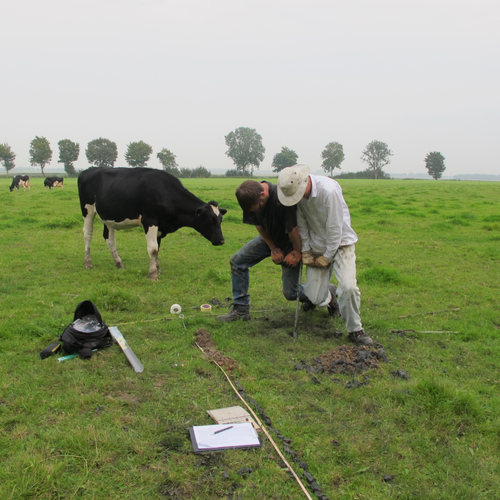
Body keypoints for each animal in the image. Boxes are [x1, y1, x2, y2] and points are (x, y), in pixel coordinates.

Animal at [78, 166, 227, 280]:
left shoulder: (160, 226)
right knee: (87, 234)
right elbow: (153, 248)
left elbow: (158, 248)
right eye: (210, 220)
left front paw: (158, 269)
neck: (165, 191)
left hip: (109, 217)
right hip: (88, 210)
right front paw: (153, 274)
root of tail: (88, 170)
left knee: (109, 238)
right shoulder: (150, 221)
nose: (221, 241)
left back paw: (119, 264)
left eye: (220, 220)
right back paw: (88, 263)